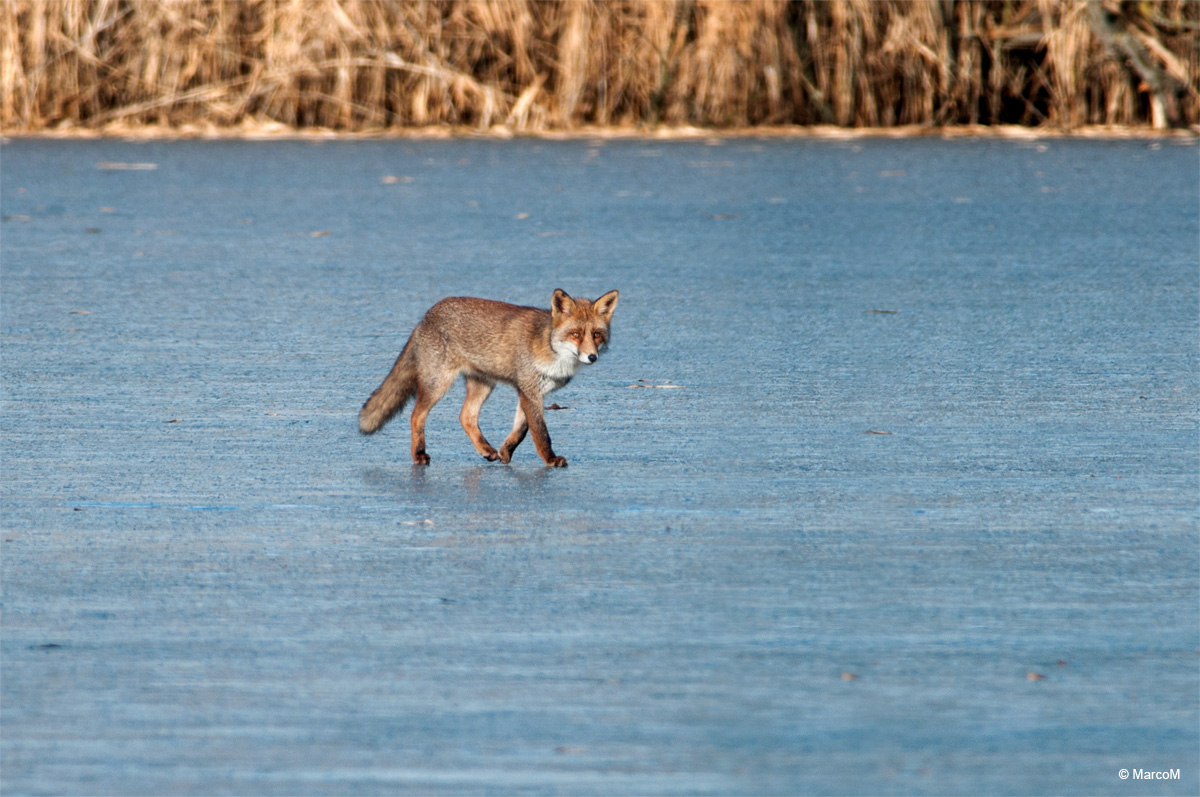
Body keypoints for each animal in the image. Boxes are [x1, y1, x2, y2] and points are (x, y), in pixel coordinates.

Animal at [359, 288, 619, 467]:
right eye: (575, 334)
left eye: (596, 335)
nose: (592, 357)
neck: (550, 348)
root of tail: (426, 316)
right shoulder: (529, 391)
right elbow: (541, 433)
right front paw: (550, 460)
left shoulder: (532, 392)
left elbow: (521, 430)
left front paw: (505, 452)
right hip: (438, 384)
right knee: (416, 415)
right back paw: (419, 454)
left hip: (483, 385)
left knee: (466, 417)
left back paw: (486, 450)